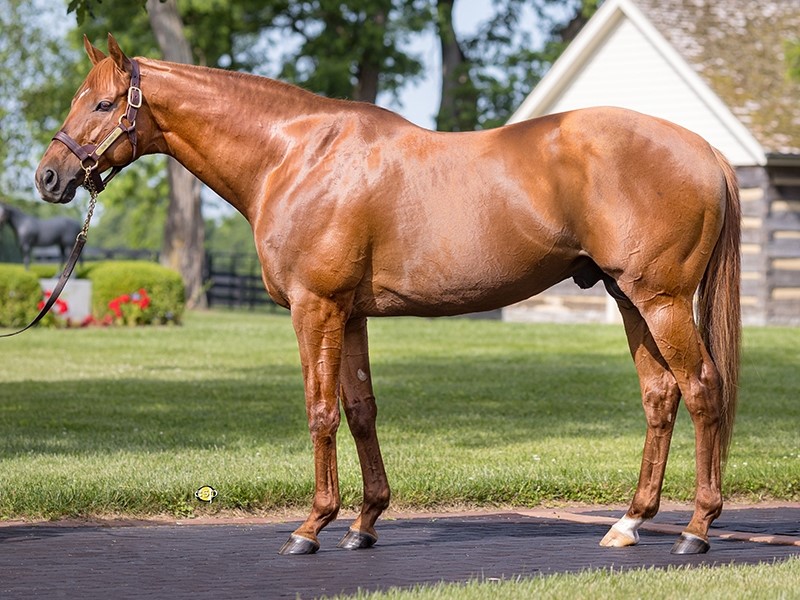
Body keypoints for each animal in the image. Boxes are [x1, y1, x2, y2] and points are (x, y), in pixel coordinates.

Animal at [35, 35, 741, 556]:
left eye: (103, 105)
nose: (49, 176)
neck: (295, 157)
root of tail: (705, 148)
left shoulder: (314, 307)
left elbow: (320, 411)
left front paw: (311, 527)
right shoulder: (349, 316)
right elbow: (360, 410)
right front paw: (364, 523)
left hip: (662, 301)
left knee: (703, 389)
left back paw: (696, 529)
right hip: (629, 299)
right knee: (661, 396)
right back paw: (629, 523)